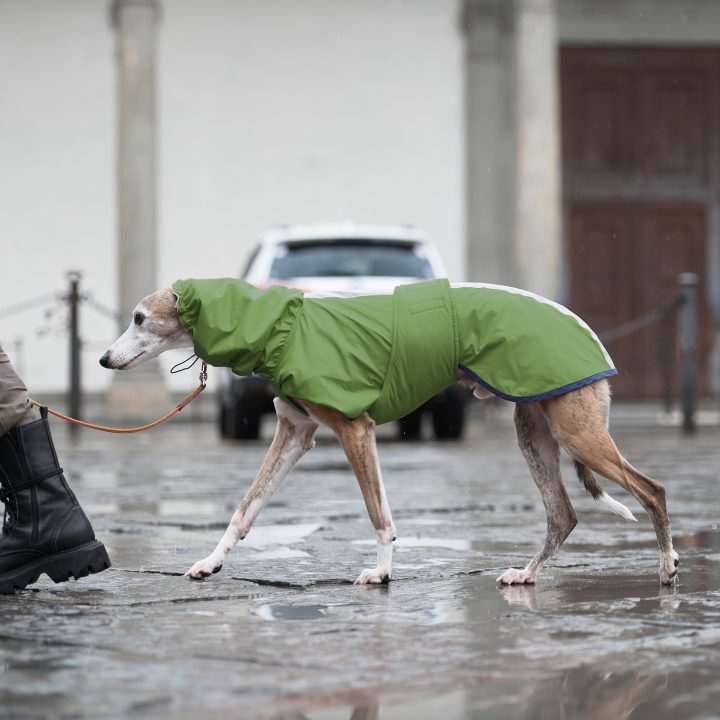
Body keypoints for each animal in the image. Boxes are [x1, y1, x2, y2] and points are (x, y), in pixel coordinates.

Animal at [101, 278, 680, 588]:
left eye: (139, 318)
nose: (104, 359)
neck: (279, 328)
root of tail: (584, 327)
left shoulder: (355, 430)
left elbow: (379, 515)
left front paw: (380, 573)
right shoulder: (295, 433)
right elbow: (246, 508)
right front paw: (210, 561)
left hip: (577, 432)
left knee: (652, 489)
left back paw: (667, 564)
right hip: (533, 430)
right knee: (563, 515)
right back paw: (527, 573)